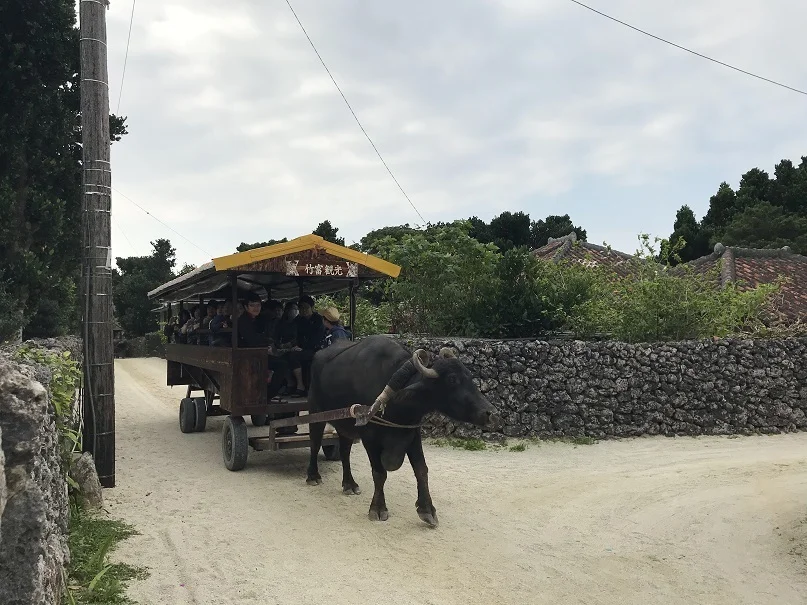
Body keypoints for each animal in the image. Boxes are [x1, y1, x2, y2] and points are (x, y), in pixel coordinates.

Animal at [306, 332, 496, 528]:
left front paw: (427, 509)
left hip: (346, 425)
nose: (490, 413)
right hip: (315, 411)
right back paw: (313, 476)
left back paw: (349, 484)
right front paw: (378, 508)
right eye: (452, 380)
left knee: (344, 451)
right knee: (315, 442)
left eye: (469, 375)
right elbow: (379, 473)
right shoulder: (369, 436)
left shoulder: (411, 433)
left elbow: (421, 469)